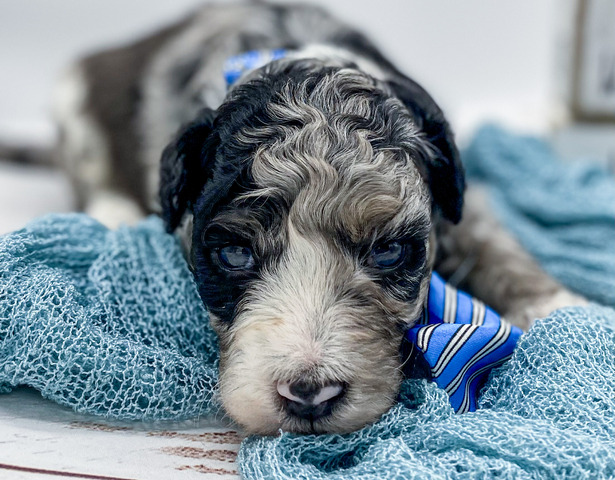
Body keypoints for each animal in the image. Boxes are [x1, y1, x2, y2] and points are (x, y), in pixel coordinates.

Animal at [52, 2, 584, 434]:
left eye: (388, 250)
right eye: (234, 254)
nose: (310, 395)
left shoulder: (456, 204)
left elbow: (489, 239)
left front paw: (566, 310)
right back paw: (113, 210)